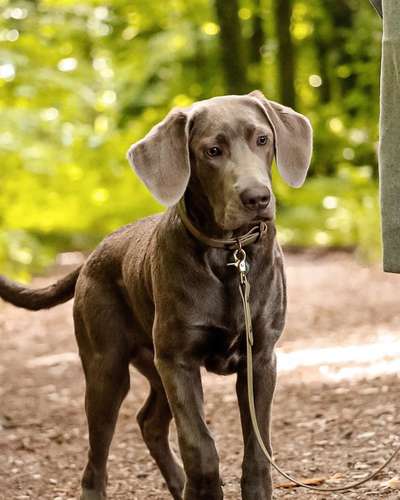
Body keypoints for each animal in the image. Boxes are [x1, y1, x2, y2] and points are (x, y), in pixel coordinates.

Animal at [0, 91, 312, 500]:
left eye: (263, 139)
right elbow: (200, 445)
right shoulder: (178, 362)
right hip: (107, 369)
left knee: (148, 421)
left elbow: (257, 451)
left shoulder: (259, 357)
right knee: (97, 456)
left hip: (153, 366)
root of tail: (92, 256)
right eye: (212, 150)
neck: (230, 256)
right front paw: (205, 489)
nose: (257, 197)